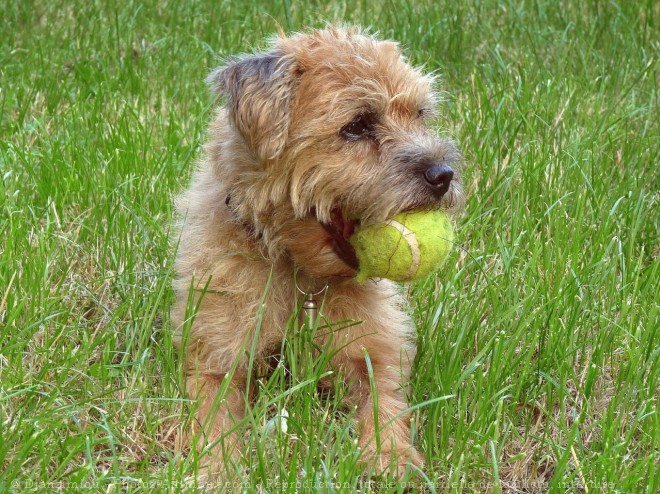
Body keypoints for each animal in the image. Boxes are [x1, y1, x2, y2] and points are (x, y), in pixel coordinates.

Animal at [173, 26, 462, 474]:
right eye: (357, 125)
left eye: (420, 115)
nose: (443, 174)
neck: (299, 273)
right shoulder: (215, 359)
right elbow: (213, 416)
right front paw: (218, 469)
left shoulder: (374, 353)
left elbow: (384, 402)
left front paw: (391, 456)